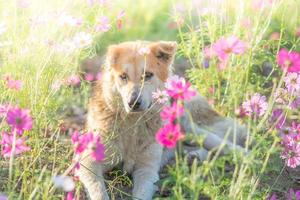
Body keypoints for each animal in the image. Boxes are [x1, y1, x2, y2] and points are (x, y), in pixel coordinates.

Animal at [77, 40, 248, 200]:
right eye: (123, 76)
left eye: (147, 75)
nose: (133, 102)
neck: (134, 124)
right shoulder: (87, 162)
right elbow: (98, 190)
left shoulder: (147, 170)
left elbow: (140, 193)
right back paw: (193, 156)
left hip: (190, 127)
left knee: (220, 144)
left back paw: (245, 155)